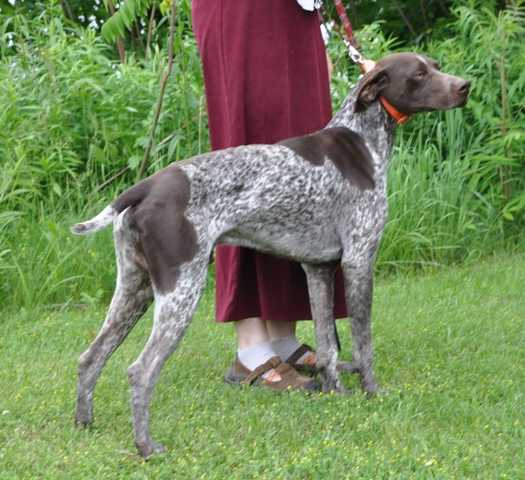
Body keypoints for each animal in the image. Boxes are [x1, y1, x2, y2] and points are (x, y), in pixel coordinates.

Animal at [71, 52, 468, 458]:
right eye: (419, 74)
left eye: (435, 66)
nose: (464, 86)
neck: (362, 138)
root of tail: (143, 188)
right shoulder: (359, 260)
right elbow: (363, 342)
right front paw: (372, 392)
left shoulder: (319, 269)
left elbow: (327, 344)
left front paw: (335, 391)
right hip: (181, 291)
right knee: (141, 370)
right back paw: (147, 446)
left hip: (134, 289)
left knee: (91, 357)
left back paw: (85, 423)